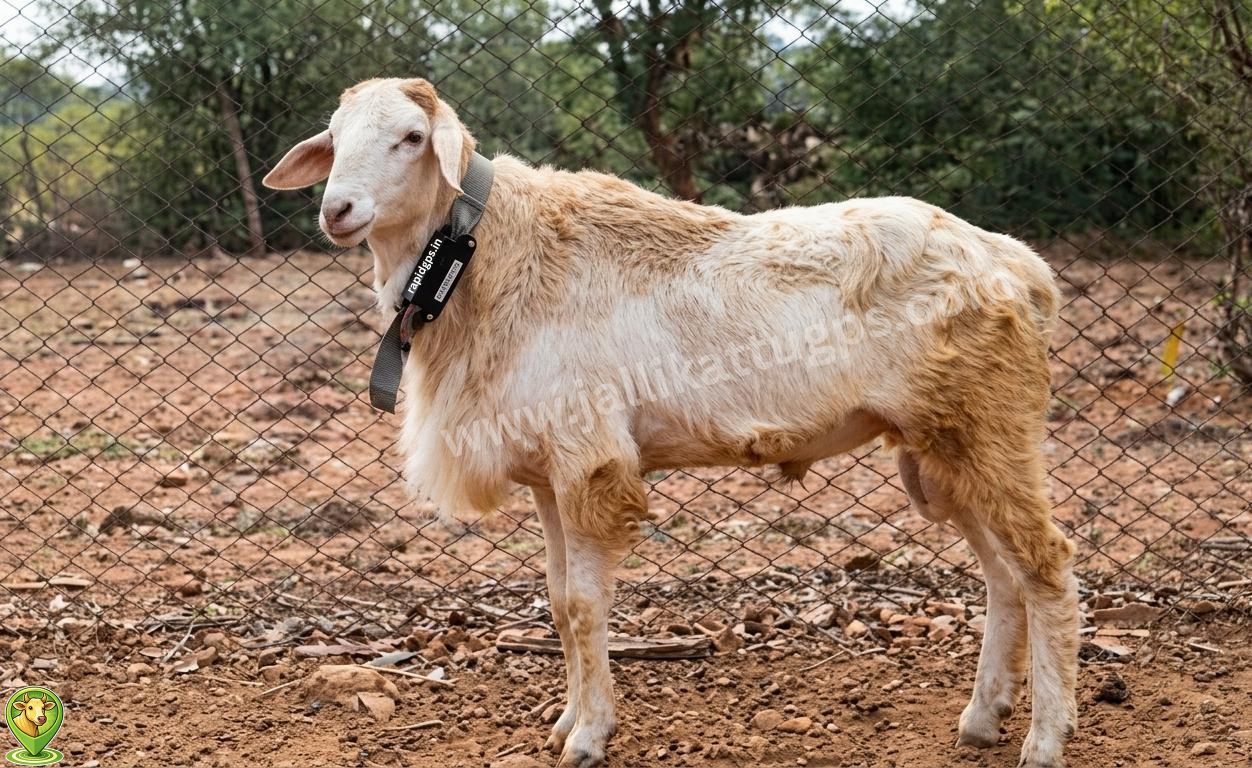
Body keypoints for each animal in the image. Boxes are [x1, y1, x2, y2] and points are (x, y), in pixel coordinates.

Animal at [263, 77, 1078, 768]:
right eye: (334, 137)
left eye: (410, 138)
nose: (337, 211)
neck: (482, 260)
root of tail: (1018, 266)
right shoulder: (547, 472)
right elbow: (558, 601)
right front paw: (567, 719)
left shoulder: (588, 456)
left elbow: (585, 606)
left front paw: (588, 736)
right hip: (942, 446)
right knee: (1003, 575)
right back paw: (983, 718)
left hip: (990, 424)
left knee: (1047, 566)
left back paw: (1043, 739)